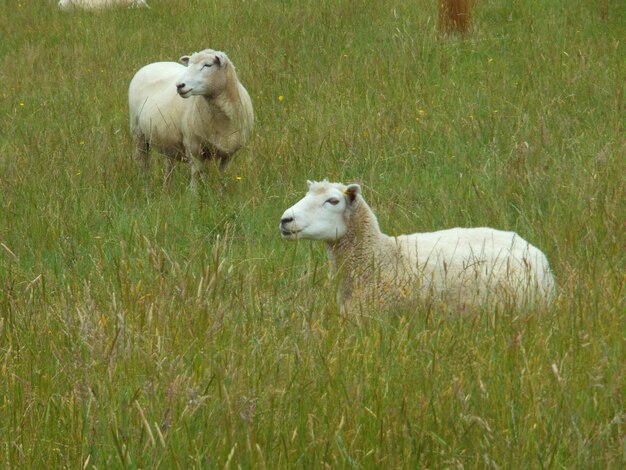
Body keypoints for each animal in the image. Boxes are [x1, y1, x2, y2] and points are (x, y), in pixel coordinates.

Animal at [127, 48, 254, 187]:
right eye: (188, 65)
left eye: (207, 65)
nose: (179, 85)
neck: (223, 119)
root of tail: (152, 64)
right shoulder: (194, 148)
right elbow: (196, 177)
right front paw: (195, 192)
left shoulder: (229, 153)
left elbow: (221, 178)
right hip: (138, 134)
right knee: (143, 165)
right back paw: (146, 188)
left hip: (167, 140)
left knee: (168, 168)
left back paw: (166, 189)